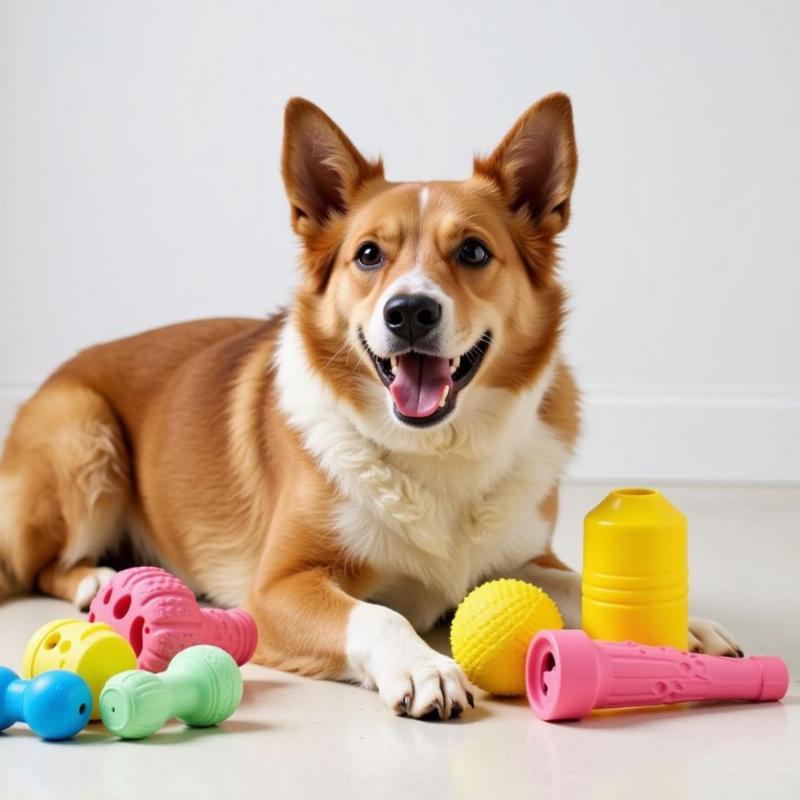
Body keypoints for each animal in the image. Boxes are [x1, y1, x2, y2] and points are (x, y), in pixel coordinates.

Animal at [0, 94, 740, 720]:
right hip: (84, 436)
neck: (437, 448)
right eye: (367, 255)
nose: (409, 311)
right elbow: (379, 614)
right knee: (42, 566)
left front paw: (681, 628)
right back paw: (98, 580)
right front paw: (424, 667)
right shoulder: (276, 587)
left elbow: (581, 584)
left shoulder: (531, 558)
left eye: (474, 251)